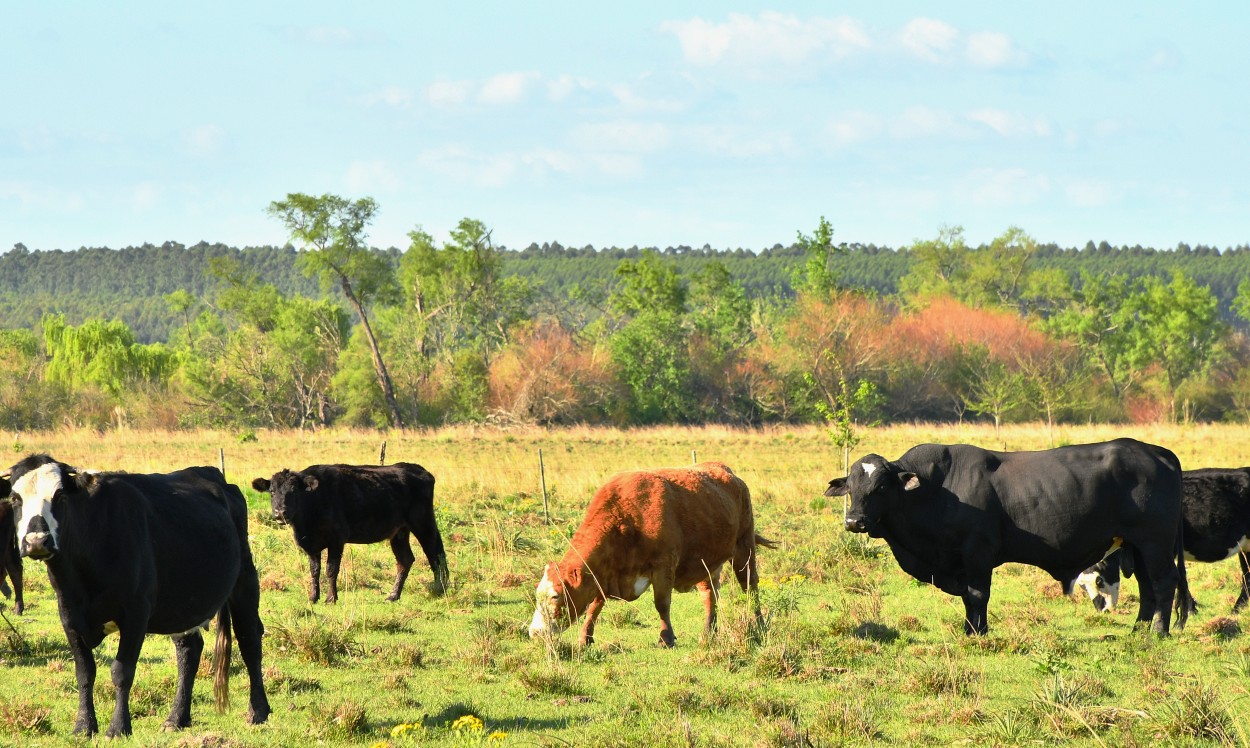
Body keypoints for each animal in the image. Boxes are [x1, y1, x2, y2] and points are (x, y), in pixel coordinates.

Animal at [252, 462, 450, 602]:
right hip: (399, 531)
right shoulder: (311, 544)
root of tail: (420, 470)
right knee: (405, 560)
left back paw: (440, 588)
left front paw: (331, 598)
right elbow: (314, 571)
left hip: (423, 522)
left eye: (294, 491)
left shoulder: (337, 539)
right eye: (271, 491)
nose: (280, 513)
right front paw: (313, 597)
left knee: (435, 553)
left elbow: (331, 569)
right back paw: (393, 595)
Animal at [825, 440, 1185, 637]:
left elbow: (976, 595)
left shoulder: (978, 553)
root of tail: (1155, 451)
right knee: (1147, 587)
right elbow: (969, 598)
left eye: (882, 486)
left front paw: (977, 632)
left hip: (1155, 543)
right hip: (1137, 545)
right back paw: (1139, 629)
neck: (936, 490)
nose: (854, 521)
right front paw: (970, 629)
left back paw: (1159, 631)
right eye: (852, 487)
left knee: (1163, 583)